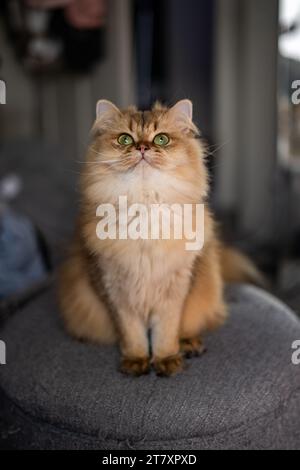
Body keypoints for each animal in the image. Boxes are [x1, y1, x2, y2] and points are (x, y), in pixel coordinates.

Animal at [59, 100, 262, 378]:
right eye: (125, 139)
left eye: (161, 139)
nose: (143, 147)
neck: (145, 208)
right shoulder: (114, 290)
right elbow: (132, 334)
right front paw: (136, 361)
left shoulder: (176, 289)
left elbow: (166, 332)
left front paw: (167, 360)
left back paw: (190, 345)